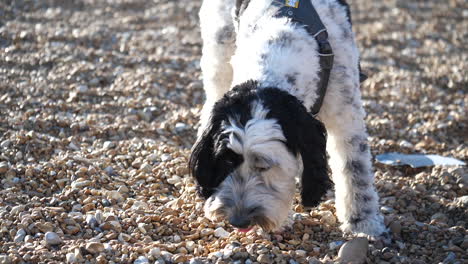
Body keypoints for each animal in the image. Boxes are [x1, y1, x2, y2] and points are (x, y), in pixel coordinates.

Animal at [188, 0, 386, 237]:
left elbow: (355, 169)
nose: (238, 221)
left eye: (264, 167)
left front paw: (363, 222)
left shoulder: (346, 115)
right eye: (226, 162)